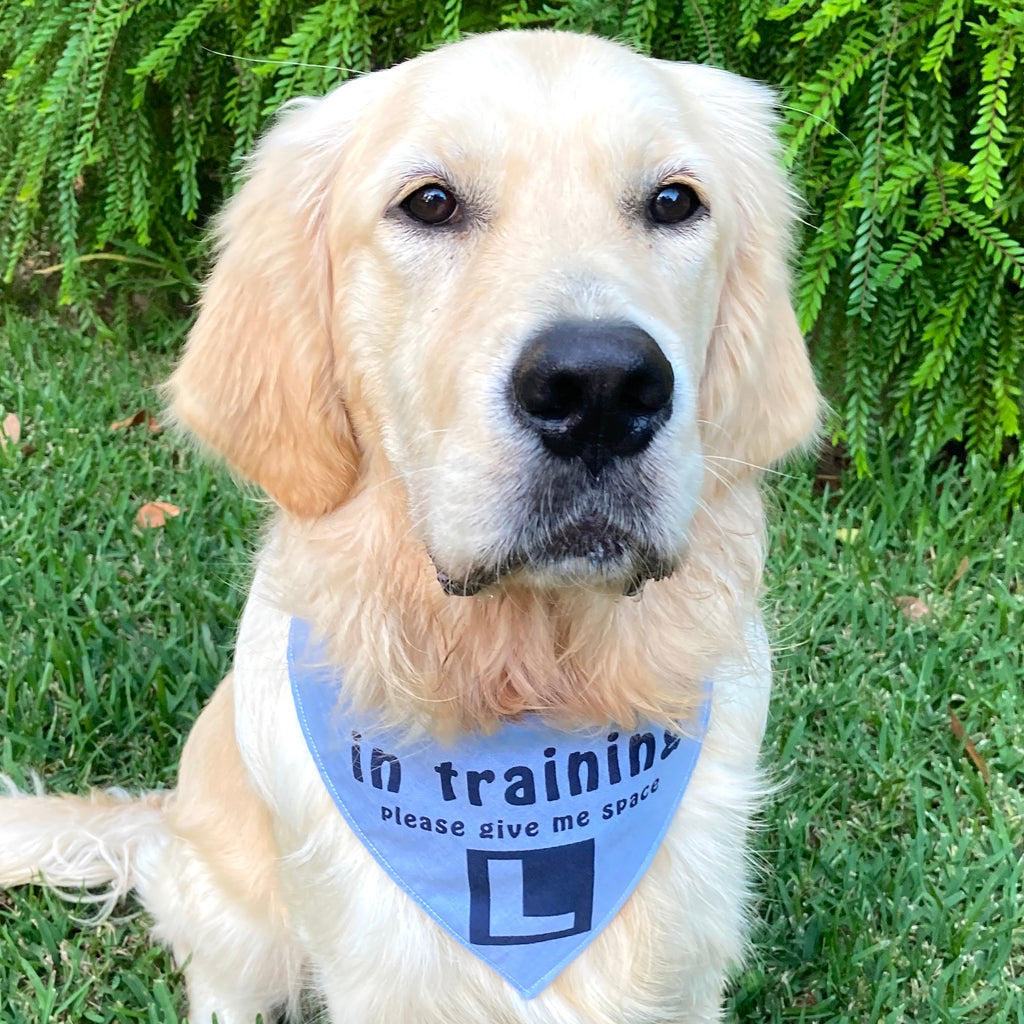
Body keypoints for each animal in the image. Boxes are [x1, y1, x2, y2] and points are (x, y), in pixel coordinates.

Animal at [0, 29, 815, 1024]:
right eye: (429, 202)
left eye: (673, 201)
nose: (600, 389)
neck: (522, 684)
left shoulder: (685, 967)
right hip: (237, 916)